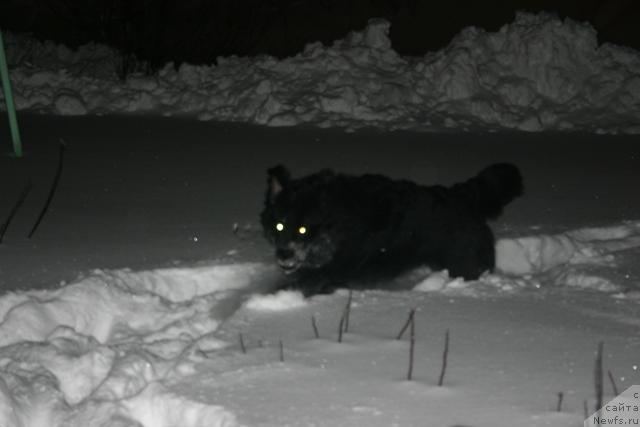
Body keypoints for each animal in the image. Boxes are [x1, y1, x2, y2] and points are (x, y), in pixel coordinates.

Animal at [258, 164, 520, 294]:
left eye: (303, 230)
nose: (284, 255)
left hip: (465, 264)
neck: (338, 220)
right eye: (279, 226)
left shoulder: (333, 271)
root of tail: (463, 196)